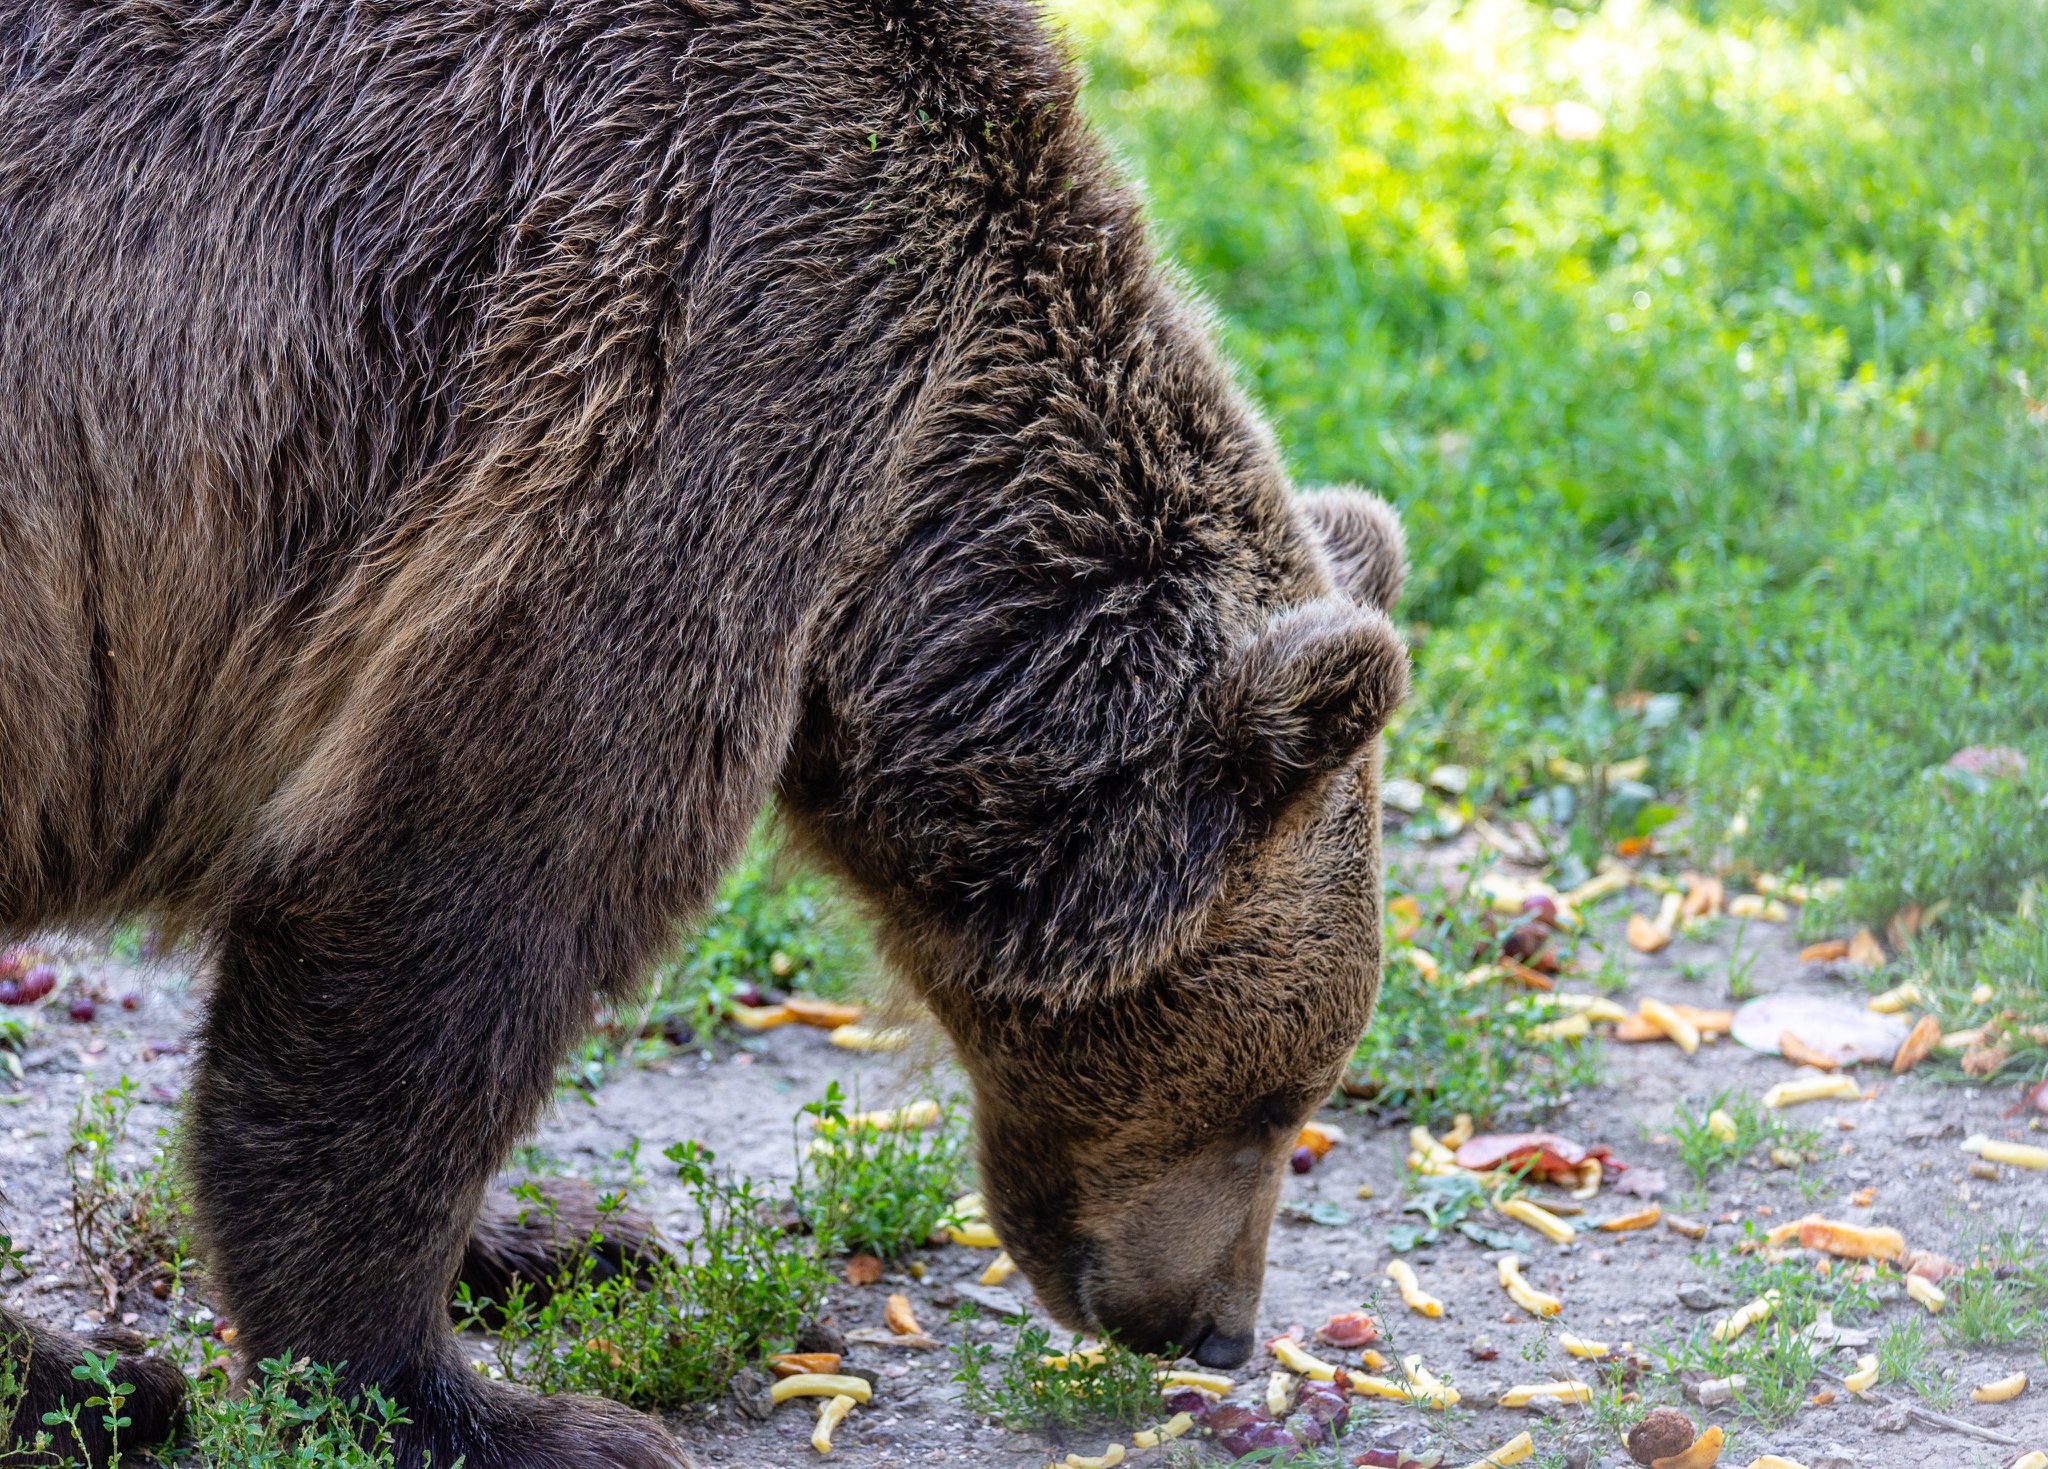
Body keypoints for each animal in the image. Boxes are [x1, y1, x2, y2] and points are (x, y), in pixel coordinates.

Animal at [0, 0, 1408, 1464]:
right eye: (1281, 1095)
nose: (1217, 1326)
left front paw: (555, 1234)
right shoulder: (680, 395)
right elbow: (449, 909)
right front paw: (493, 1404)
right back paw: (86, 1382)